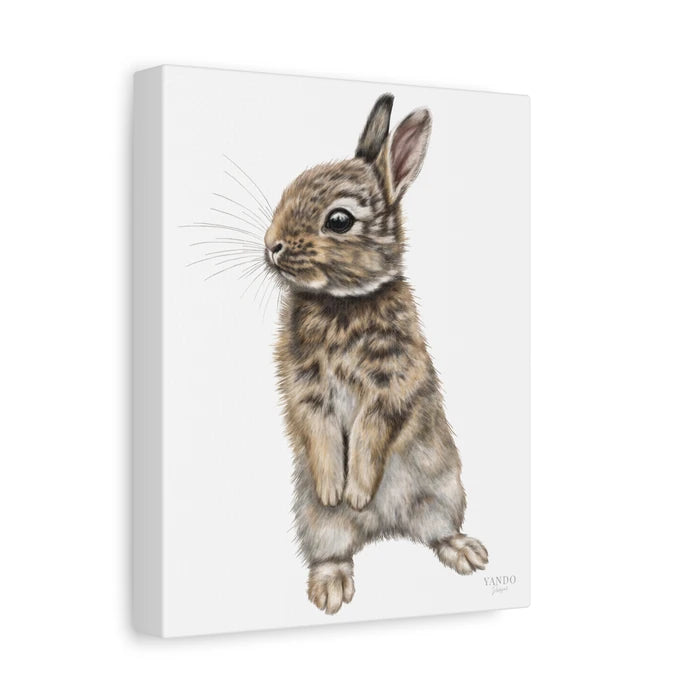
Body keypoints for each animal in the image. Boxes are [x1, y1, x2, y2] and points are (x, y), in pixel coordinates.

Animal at [264, 93, 488, 614]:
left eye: (339, 220)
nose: (271, 245)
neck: (344, 301)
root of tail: (384, 530)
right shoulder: (306, 388)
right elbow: (321, 430)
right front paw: (335, 490)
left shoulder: (392, 383)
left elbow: (371, 434)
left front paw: (358, 491)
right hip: (315, 522)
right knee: (332, 547)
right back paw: (331, 585)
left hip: (444, 491)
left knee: (435, 531)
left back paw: (463, 550)